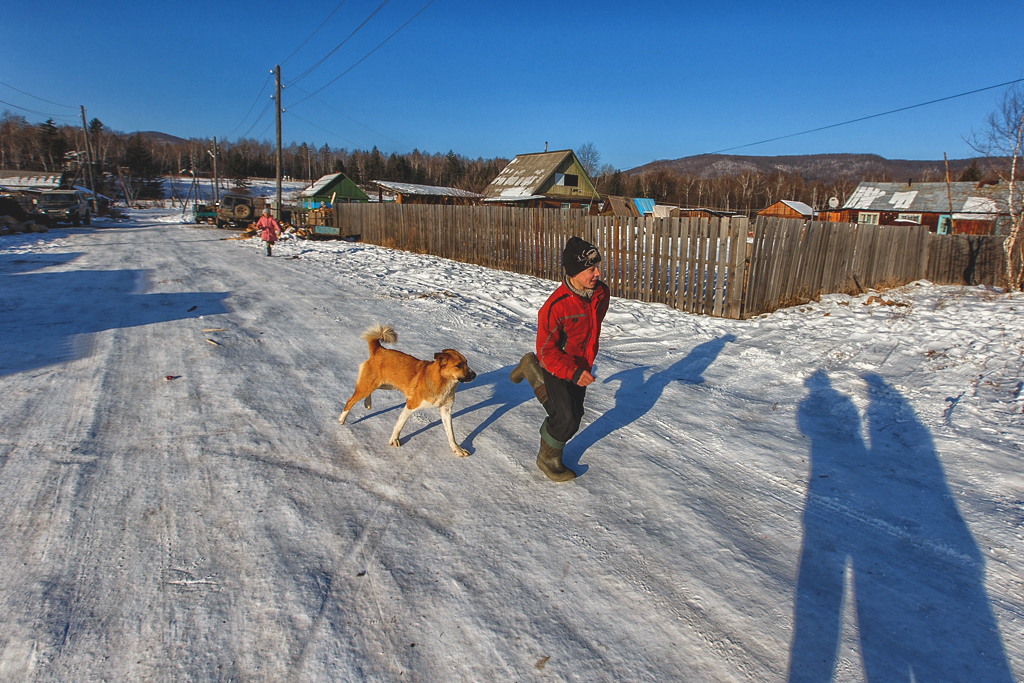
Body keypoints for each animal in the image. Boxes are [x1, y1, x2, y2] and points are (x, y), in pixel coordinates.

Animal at [337, 325, 477, 456]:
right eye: (458, 365)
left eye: (467, 363)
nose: (474, 375)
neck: (442, 382)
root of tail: (379, 349)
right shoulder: (411, 405)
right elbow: (400, 424)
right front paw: (394, 440)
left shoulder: (446, 410)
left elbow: (451, 434)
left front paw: (457, 449)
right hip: (367, 386)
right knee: (350, 400)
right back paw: (342, 419)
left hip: (385, 385)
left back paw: (367, 403)